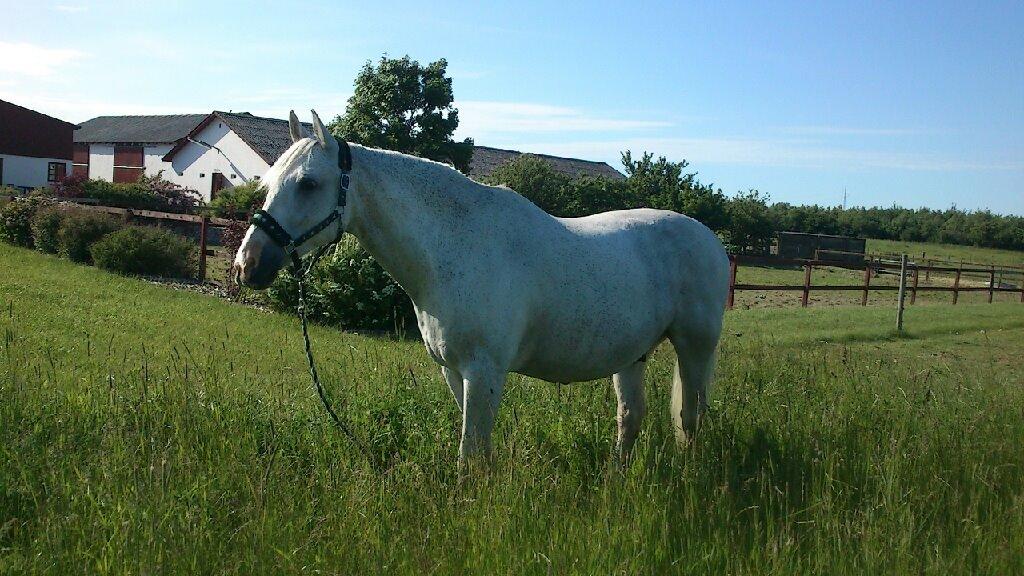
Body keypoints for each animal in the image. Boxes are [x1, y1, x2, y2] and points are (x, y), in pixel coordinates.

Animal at [234, 111, 729, 461]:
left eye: (308, 183)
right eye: (270, 181)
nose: (247, 265)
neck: (456, 246)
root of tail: (710, 239)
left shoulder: (484, 372)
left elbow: (469, 455)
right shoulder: (454, 372)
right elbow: (479, 452)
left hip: (695, 347)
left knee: (691, 419)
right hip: (631, 355)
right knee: (630, 418)